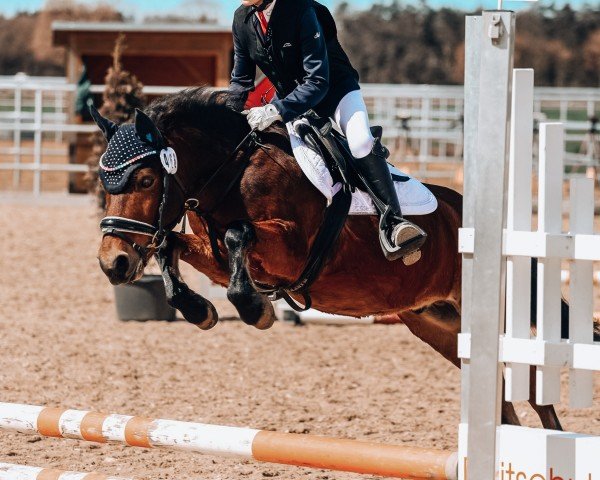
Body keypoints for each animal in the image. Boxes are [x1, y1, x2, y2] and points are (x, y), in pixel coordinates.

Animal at [95, 86, 568, 432]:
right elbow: (169, 245)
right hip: (440, 326)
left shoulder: (288, 250)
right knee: (503, 401)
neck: (230, 170)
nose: (112, 264)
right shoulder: (213, 251)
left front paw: (255, 310)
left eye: (145, 179)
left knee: (535, 396)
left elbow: (237, 234)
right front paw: (199, 309)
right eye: (104, 181)